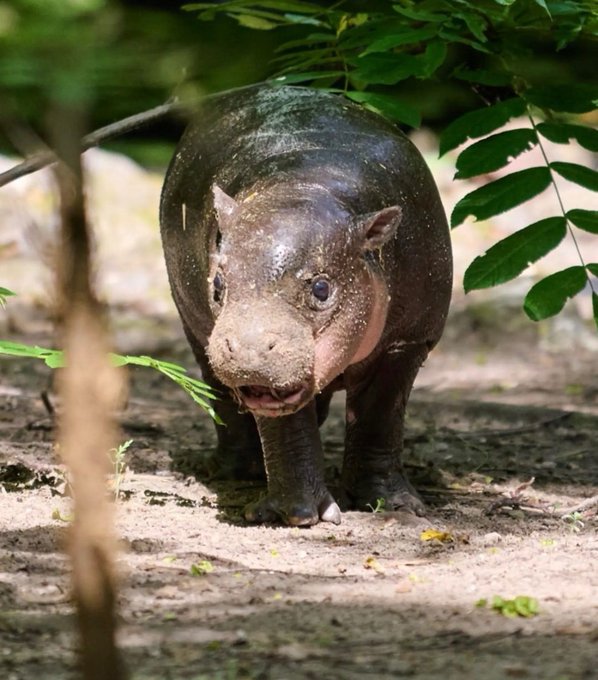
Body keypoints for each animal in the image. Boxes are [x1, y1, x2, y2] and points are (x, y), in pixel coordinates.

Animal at [160, 85, 452, 526]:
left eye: (321, 288)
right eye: (218, 282)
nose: (248, 347)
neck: (302, 191)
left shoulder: (408, 342)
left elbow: (380, 419)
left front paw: (395, 505)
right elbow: (287, 430)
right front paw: (298, 513)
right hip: (196, 331)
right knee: (223, 401)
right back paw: (237, 471)